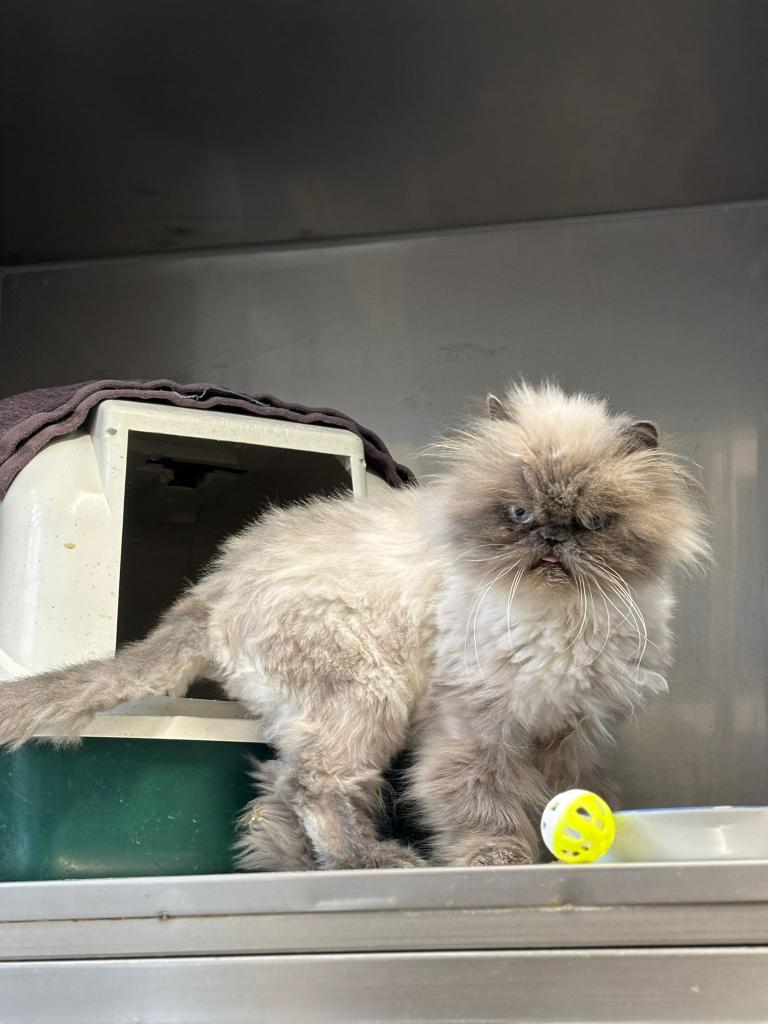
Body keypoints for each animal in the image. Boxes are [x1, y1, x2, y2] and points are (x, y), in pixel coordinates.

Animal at [0, 382, 708, 869]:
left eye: (593, 523)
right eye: (516, 514)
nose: (553, 539)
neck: (557, 618)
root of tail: (216, 586)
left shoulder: (572, 732)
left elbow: (560, 795)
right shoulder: (475, 730)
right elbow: (485, 805)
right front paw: (497, 859)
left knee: (275, 789)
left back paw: (289, 864)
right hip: (367, 697)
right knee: (313, 786)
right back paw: (372, 861)